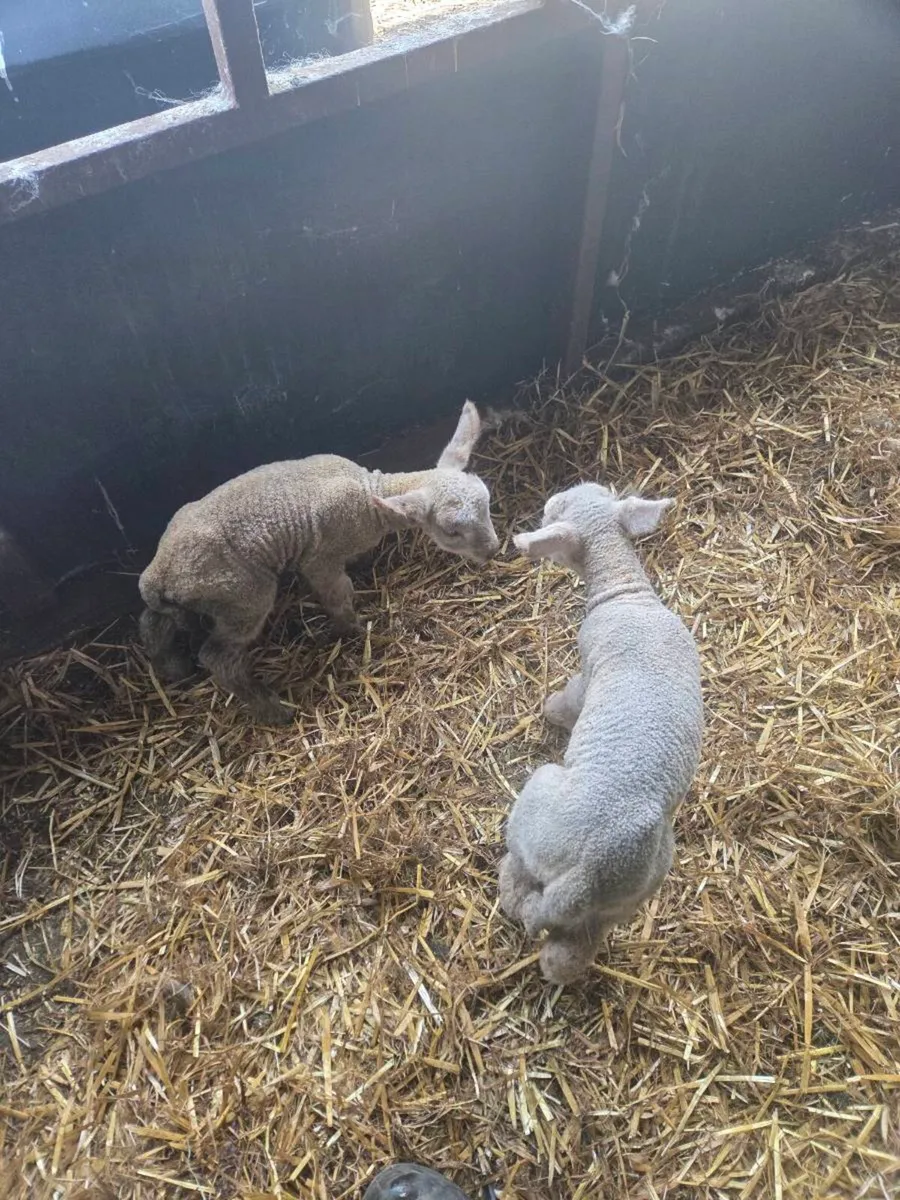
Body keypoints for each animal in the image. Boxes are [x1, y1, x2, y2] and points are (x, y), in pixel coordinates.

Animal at [138, 401, 499, 724]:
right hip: (243, 595)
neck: (369, 494)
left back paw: (173, 669)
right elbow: (338, 593)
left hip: (191, 596)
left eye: (487, 500)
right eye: (452, 531)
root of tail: (157, 573)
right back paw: (272, 709)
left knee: (153, 622)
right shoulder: (321, 559)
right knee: (217, 656)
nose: (493, 550)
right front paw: (351, 629)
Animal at [499, 482, 703, 985]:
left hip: (539, 801)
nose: (547, 501)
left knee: (519, 879)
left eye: (555, 509)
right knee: (574, 949)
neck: (624, 591)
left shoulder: (588, 664)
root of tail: (585, 875)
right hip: (625, 900)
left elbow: (571, 698)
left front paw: (552, 711)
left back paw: (507, 885)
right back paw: (558, 967)